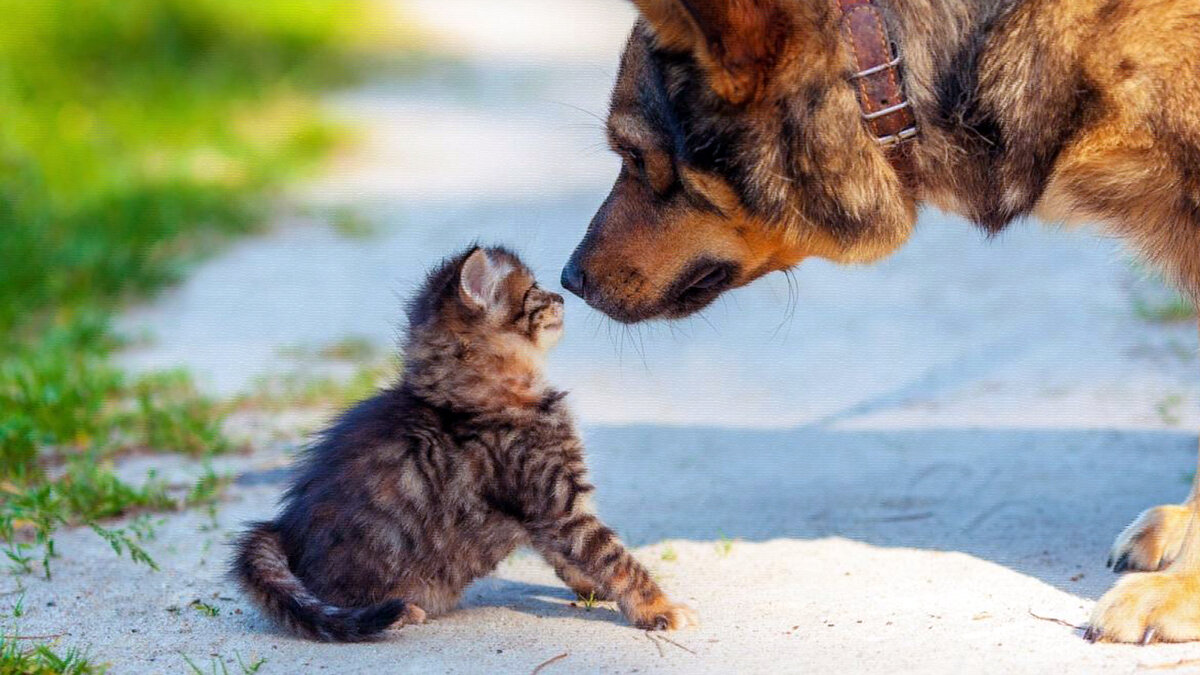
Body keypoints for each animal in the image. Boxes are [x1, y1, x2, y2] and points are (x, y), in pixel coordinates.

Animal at [231, 243, 696, 638]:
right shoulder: (558, 504)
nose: (562, 296)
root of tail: (282, 529)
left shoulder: (546, 516)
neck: (480, 397)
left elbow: (568, 560)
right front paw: (659, 608)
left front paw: (592, 590)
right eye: (533, 293)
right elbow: (617, 561)